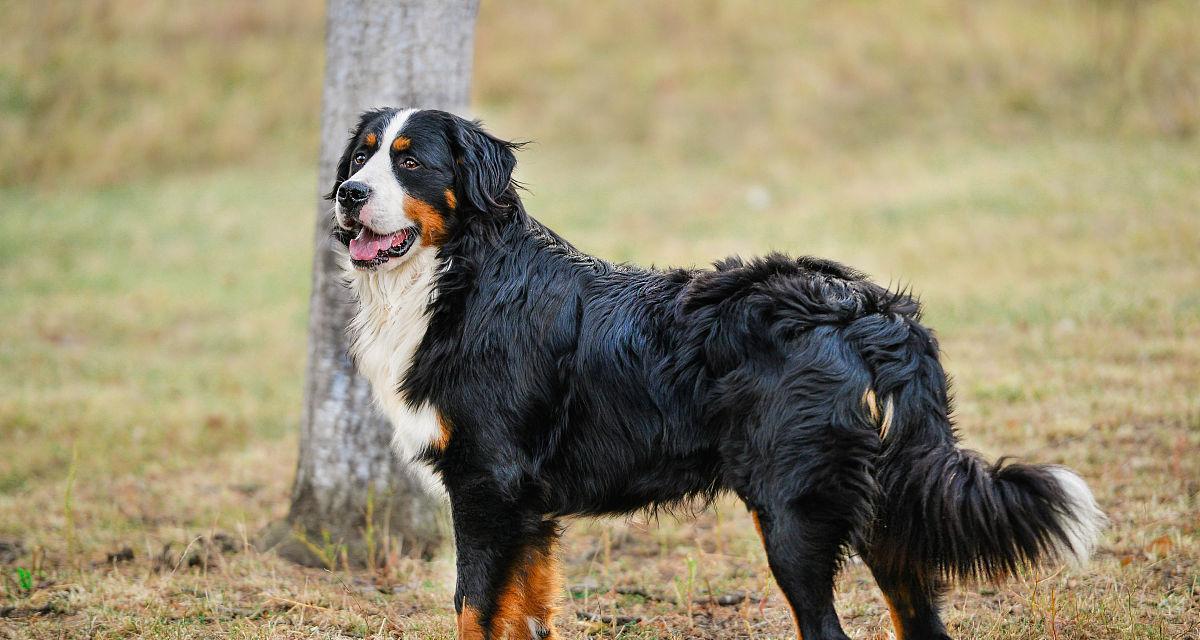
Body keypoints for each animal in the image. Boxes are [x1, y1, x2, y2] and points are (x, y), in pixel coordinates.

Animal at [328, 108, 1104, 638]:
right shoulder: (526, 509)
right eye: (361, 157)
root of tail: (864, 307)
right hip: (888, 513)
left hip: (791, 513)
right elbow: (522, 617)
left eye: (410, 164)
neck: (461, 279)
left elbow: (470, 608)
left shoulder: (488, 486)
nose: (347, 195)